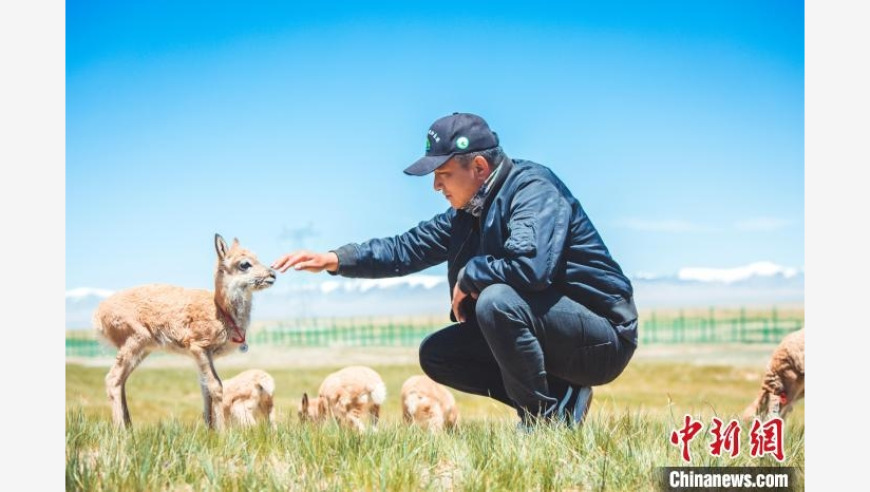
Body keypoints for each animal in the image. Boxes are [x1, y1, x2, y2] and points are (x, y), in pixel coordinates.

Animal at [93, 233, 276, 428]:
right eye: (244, 264)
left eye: (257, 257)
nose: (273, 274)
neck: (220, 309)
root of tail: (98, 313)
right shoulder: (199, 348)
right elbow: (216, 386)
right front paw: (222, 431)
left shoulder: (205, 355)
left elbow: (205, 389)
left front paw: (210, 430)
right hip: (134, 342)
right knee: (112, 379)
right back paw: (121, 430)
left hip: (142, 350)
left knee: (121, 381)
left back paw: (129, 427)